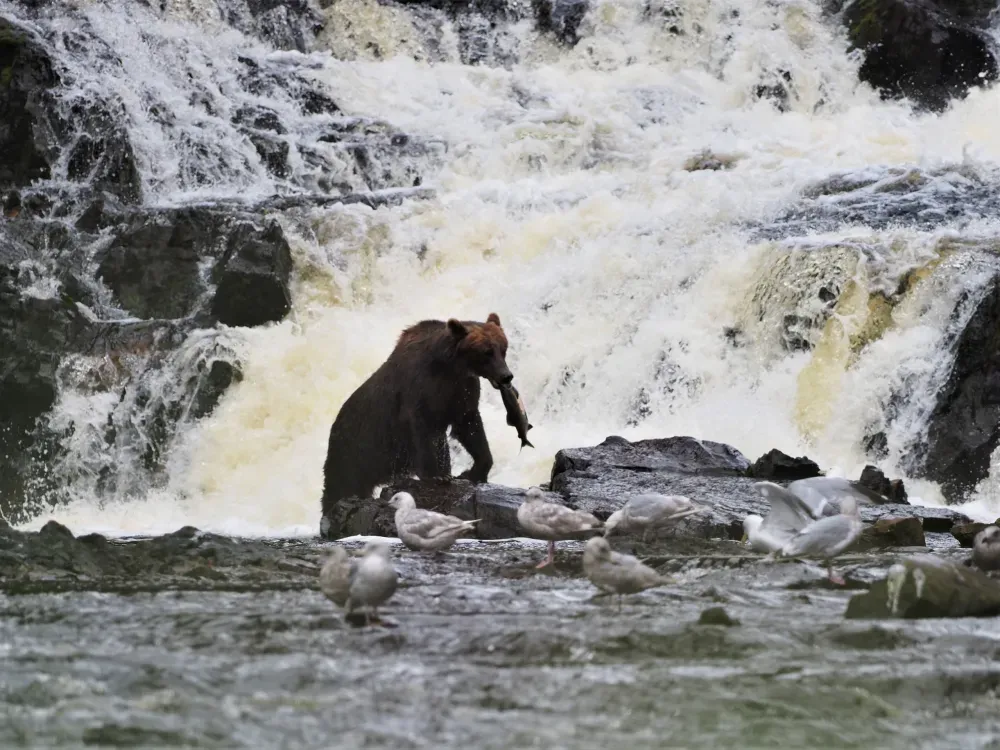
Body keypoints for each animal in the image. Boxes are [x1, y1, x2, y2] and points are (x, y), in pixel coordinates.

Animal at [320, 313, 513, 538]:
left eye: (503, 348)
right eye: (486, 352)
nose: (506, 376)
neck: (449, 368)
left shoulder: (462, 392)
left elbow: (470, 427)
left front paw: (472, 472)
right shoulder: (419, 392)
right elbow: (422, 432)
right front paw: (437, 475)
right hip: (353, 449)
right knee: (340, 485)